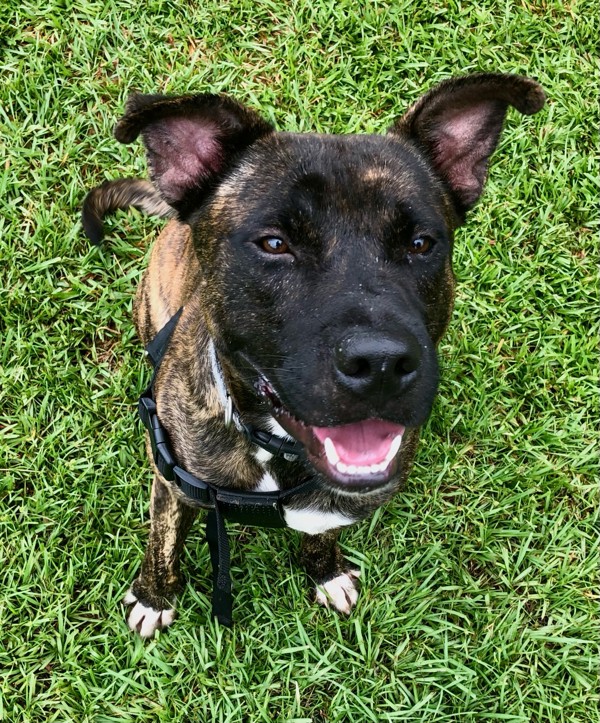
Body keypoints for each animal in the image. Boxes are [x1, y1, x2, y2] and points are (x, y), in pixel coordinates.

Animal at [83, 73, 544, 637]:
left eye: (420, 243)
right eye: (274, 243)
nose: (380, 364)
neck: (275, 450)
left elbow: (321, 531)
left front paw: (325, 571)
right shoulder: (173, 486)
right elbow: (163, 543)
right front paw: (154, 596)